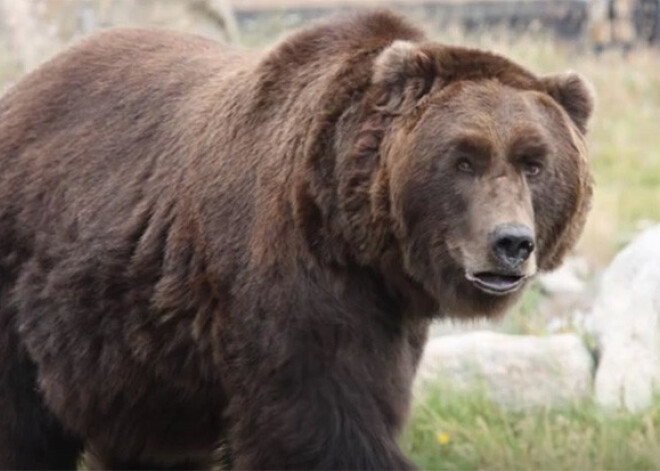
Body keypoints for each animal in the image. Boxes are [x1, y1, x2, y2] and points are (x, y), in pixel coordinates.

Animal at [0, 8, 592, 471]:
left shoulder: (391, 320)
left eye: (534, 163)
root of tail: (22, 88)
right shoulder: (291, 285)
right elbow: (319, 425)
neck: (357, 238)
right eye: (464, 159)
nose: (511, 243)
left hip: (134, 347)